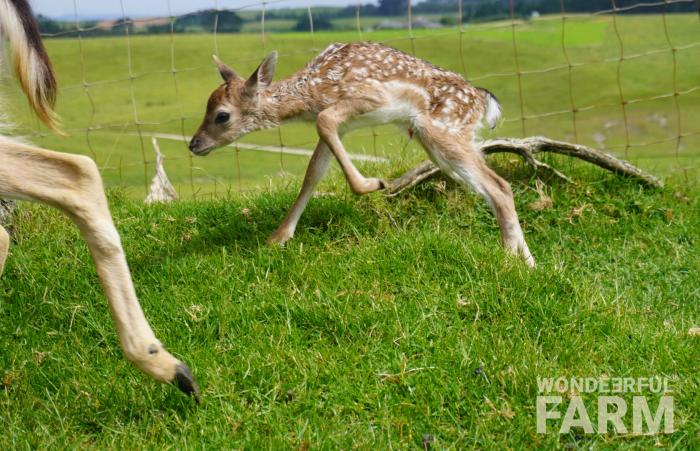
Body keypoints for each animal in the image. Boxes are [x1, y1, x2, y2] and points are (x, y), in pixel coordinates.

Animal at [190, 42, 535, 267]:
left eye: (222, 115)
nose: (193, 144)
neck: (312, 93)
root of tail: (484, 100)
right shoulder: (344, 126)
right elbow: (313, 171)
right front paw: (278, 237)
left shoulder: (371, 97)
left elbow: (323, 121)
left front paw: (374, 184)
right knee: (496, 187)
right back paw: (529, 262)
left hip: (442, 130)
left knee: (498, 186)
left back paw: (509, 259)